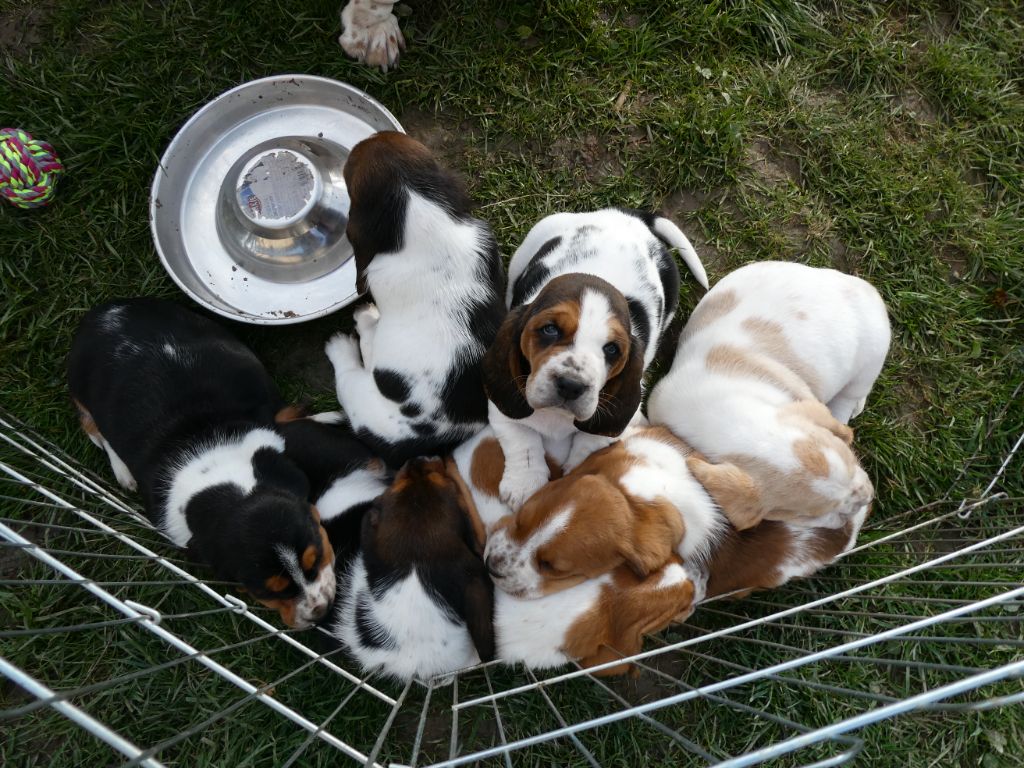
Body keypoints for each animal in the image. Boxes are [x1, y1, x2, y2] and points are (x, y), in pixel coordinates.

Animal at [69, 296, 339, 626]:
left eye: (316, 557)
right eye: (267, 591)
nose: (321, 612)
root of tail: (99, 315)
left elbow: (287, 418)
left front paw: (331, 415)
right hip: (81, 394)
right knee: (95, 430)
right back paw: (123, 472)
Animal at [325, 131, 505, 468]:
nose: (371, 134)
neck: (422, 213)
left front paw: (364, 318)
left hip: (362, 398)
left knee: (351, 371)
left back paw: (343, 343)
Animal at [483, 207, 708, 514]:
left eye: (611, 349)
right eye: (550, 330)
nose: (570, 385)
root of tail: (626, 216)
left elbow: (589, 442)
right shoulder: (502, 407)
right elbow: (522, 440)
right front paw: (524, 485)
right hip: (537, 235)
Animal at [651, 262, 892, 532]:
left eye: (852, 463)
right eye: (812, 516)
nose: (868, 497)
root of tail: (867, 289)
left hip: (869, 362)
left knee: (852, 395)